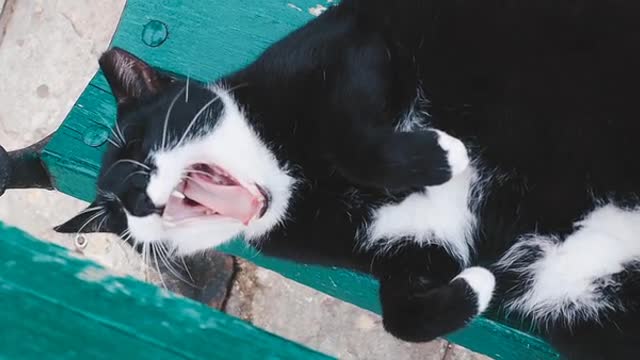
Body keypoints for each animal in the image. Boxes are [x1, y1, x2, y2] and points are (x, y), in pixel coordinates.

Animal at [55, 1, 640, 358]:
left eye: (139, 149)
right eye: (119, 219)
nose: (136, 201)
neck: (295, 183)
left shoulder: (351, 44)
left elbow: (348, 133)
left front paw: (443, 157)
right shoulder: (410, 249)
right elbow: (401, 315)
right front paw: (477, 286)